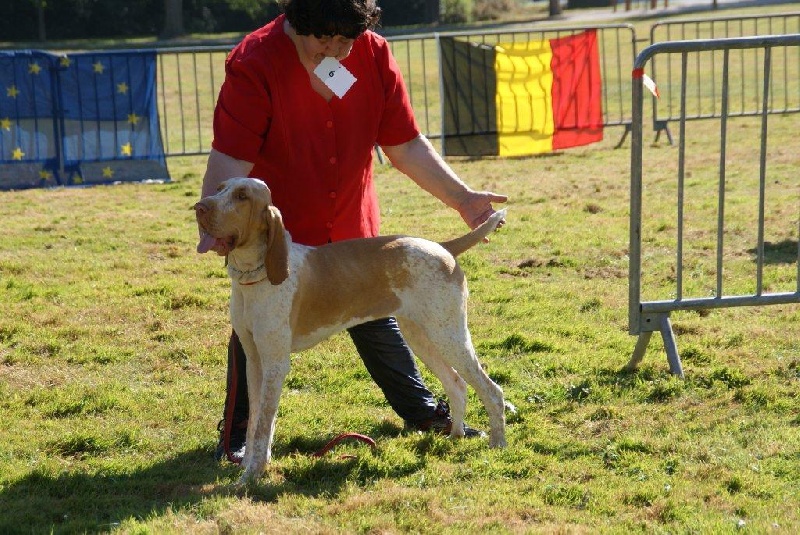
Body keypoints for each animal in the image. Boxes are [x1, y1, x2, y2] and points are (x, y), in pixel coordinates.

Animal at [195, 178, 506, 484]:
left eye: (242, 196)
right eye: (220, 188)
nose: (199, 207)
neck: (254, 277)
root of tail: (442, 247)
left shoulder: (275, 363)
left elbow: (263, 426)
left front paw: (251, 476)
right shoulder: (254, 360)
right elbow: (255, 422)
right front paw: (249, 465)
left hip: (449, 335)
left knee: (492, 391)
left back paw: (498, 444)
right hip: (423, 337)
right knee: (457, 384)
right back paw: (455, 435)